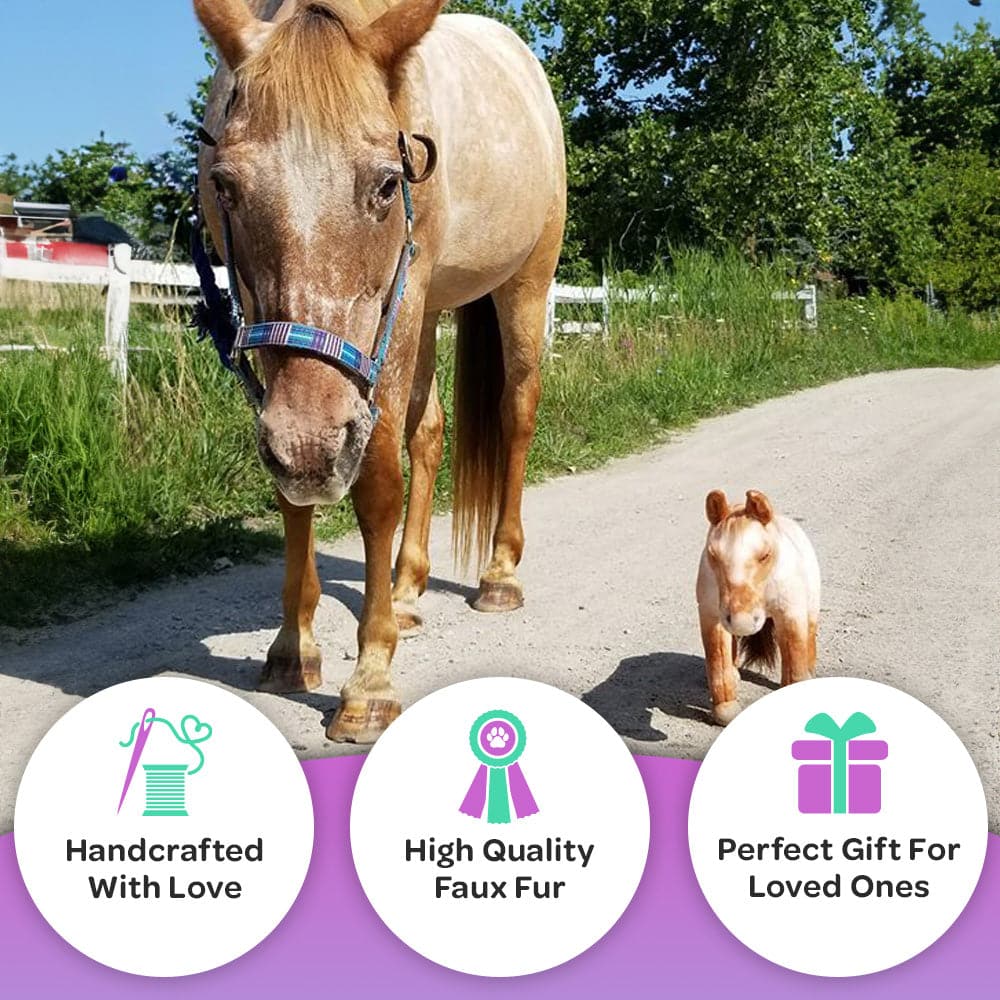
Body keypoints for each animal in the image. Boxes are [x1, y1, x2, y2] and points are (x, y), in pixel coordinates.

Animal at [193, 0, 566, 743]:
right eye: (225, 185)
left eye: (389, 184)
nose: (312, 447)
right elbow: (295, 496)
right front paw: (293, 647)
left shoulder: (405, 298)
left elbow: (377, 491)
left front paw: (369, 680)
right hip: (424, 315)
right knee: (428, 431)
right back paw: (407, 586)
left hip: (519, 286)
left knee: (516, 414)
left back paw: (498, 574)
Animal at [696, 489, 821, 725]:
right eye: (713, 555)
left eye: (765, 555)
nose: (743, 622)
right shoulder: (712, 617)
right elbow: (718, 662)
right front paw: (726, 708)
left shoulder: (790, 615)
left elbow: (795, 662)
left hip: (809, 610)